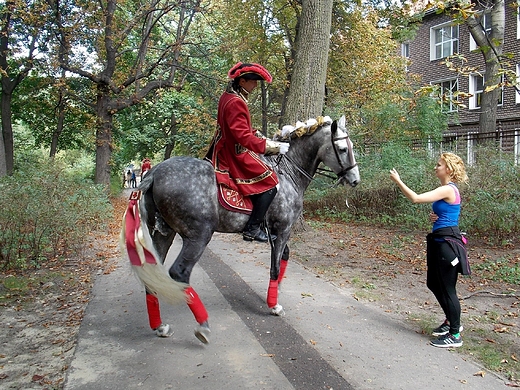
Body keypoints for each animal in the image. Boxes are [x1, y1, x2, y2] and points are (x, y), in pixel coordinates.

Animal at [133, 115, 358, 342]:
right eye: (342, 149)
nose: (355, 180)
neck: (288, 173)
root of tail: (155, 173)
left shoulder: (276, 233)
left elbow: (284, 257)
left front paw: (273, 293)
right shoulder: (283, 229)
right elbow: (275, 267)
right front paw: (274, 305)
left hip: (163, 234)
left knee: (152, 274)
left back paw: (160, 326)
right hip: (199, 237)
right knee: (180, 272)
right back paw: (202, 325)